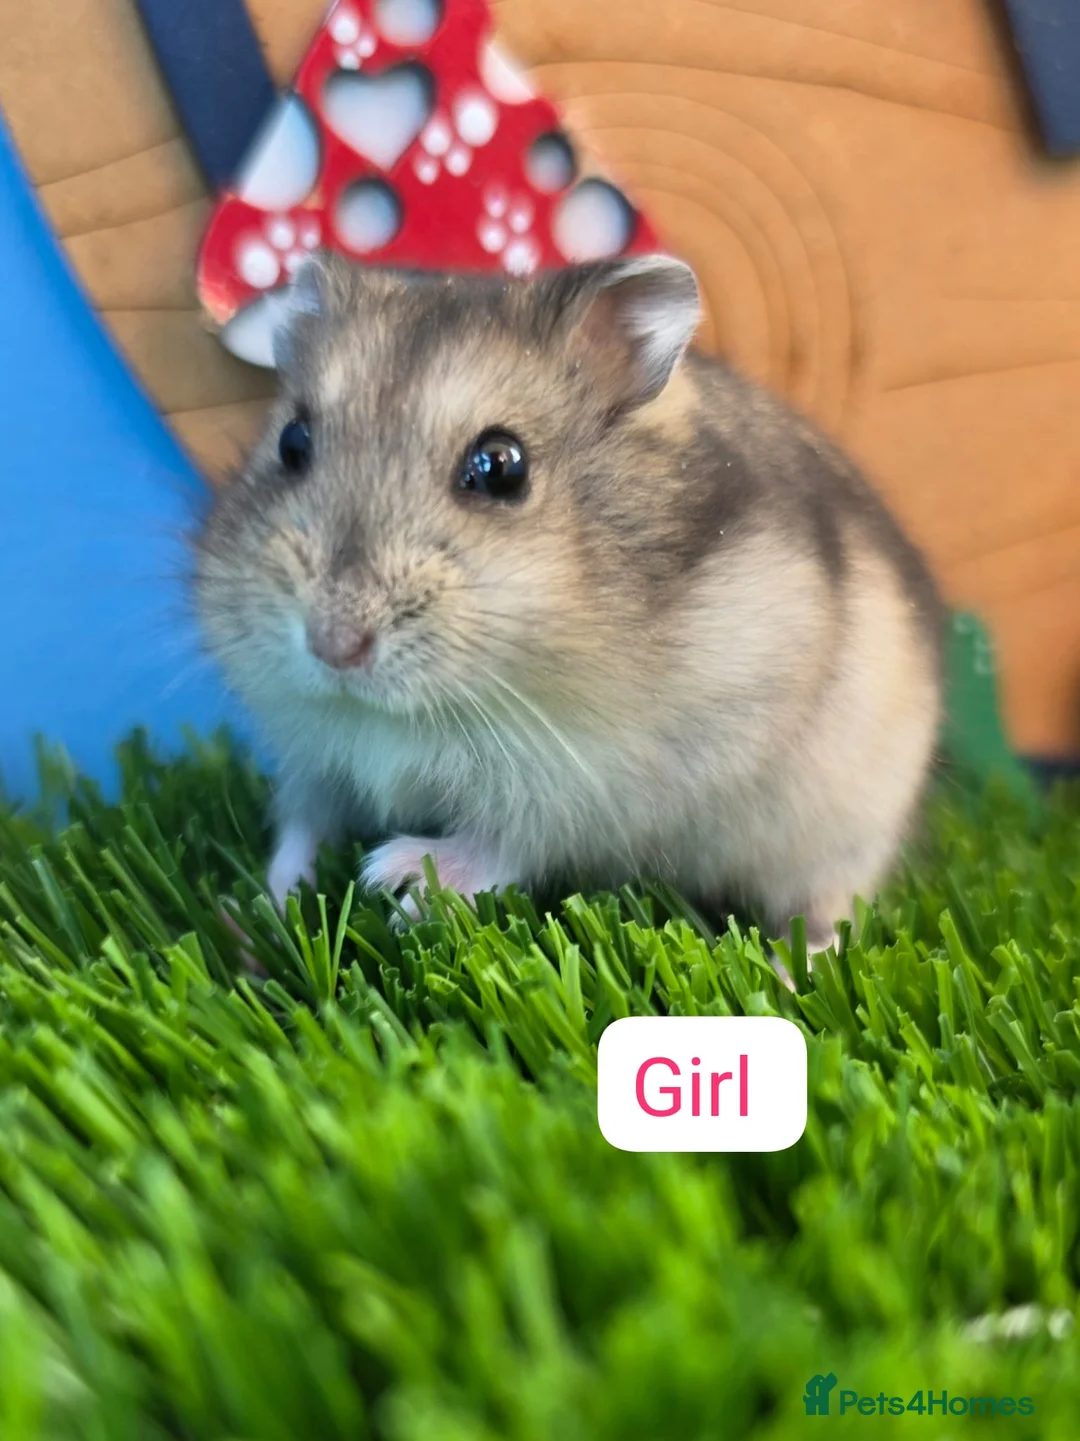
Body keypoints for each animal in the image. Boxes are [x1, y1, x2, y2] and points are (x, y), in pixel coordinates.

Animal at [194, 251, 944, 955]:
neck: (410, 716)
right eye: (293, 442)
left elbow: (507, 841)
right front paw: (257, 908)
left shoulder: (603, 788)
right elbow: (302, 829)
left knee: (829, 918)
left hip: (848, 830)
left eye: (500, 466)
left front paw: (399, 882)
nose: (334, 647)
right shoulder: (311, 757)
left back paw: (790, 972)